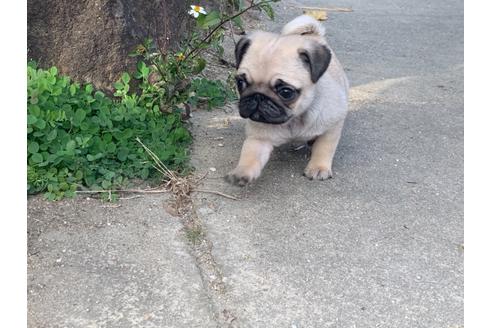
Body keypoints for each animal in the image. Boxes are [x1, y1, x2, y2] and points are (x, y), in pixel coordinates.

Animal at [225, 15, 348, 186]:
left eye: (286, 92)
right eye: (240, 83)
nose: (258, 96)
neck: (294, 119)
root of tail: (313, 34)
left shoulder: (332, 126)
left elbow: (324, 147)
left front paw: (318, 167)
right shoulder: (259, 137)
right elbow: (250, 154)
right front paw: (242, 172)